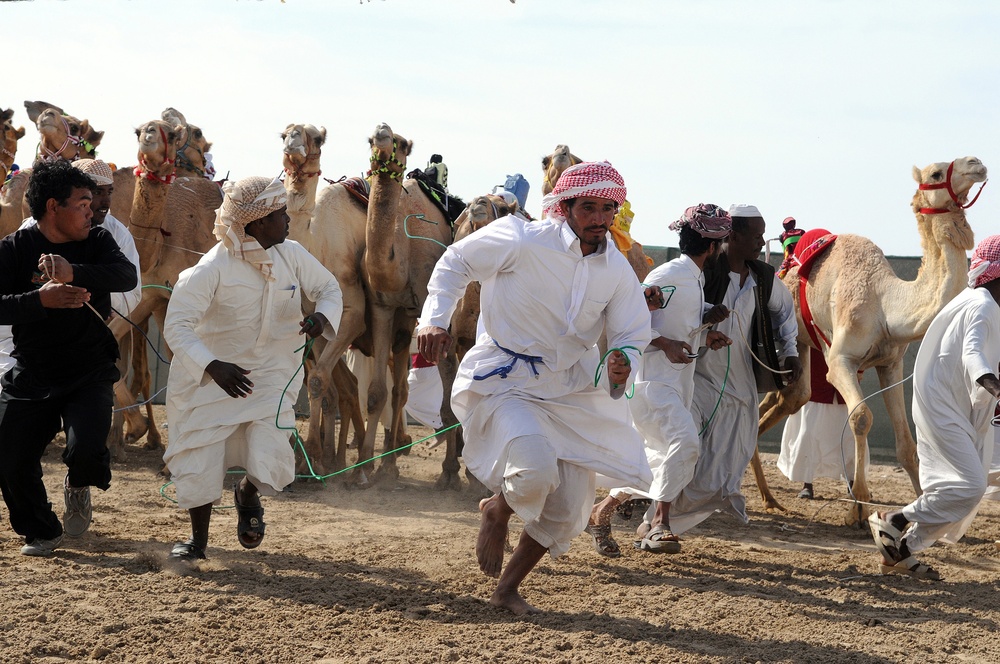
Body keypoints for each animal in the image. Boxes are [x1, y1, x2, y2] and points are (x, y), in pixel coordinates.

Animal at [752, 156, 984, 524]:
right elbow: (861, 417)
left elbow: (906, 443)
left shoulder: (891, 364)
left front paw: (921, 510)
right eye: (936, 172)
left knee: (791, 397)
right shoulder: (840, 361)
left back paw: (769, 498)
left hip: (799, 343)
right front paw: (858, 507)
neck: (885, 304)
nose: (977, 163)